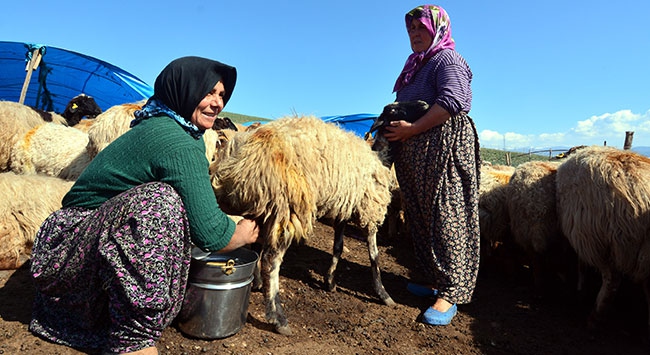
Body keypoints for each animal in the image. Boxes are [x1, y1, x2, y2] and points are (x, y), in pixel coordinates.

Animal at [211, 114, 394, 336]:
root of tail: (240, 156)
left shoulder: (343, 206)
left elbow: (338, 246)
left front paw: (330, 281)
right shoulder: (369, 207)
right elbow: (374, 255)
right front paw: (383, 293)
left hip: (257, 207)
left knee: (253, 246)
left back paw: (257, 283)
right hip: (287, 206)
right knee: (270, 261)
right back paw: (278, 318)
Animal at [552, 145, 648, 336]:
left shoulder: (583, 235)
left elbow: (581, 265)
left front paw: (580, 289)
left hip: (609, 240)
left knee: (612, 280)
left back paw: (595, 317)